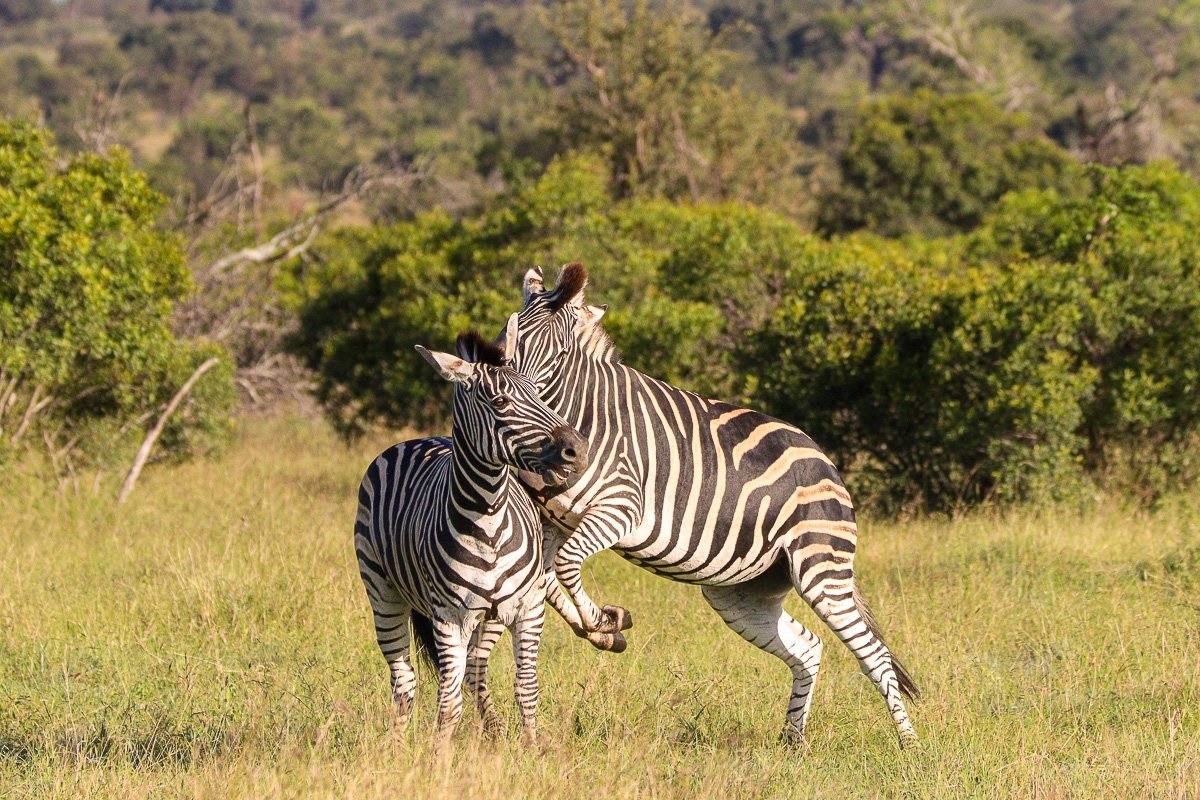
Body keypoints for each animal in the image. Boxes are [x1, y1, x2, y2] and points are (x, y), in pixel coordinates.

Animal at [354, 320, 589, 746]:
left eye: (536, 391)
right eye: (499, 403)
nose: (577, 450)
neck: (490, 520)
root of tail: (417, 439)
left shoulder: (529, 608)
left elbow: (526, 689)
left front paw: (532, 751)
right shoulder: (449, 618)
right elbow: (448, 705)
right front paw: (439, 759)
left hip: (489, 616)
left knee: (476, 670)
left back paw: (492, 731)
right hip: (382, 592)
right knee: (405, 682)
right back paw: (395, 750)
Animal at [494, 263, 920, 749]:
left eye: (561, 353)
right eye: (506, 341)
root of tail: (826, 461)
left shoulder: (622, 509)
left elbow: (565, 566)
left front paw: (600, 621)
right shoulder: (556, 521)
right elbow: (547, 579)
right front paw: (603, 631)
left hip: (821, 566)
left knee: (874, 655)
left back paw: (910, 747)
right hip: (741, 591)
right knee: (808, 647)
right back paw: (792, 743)